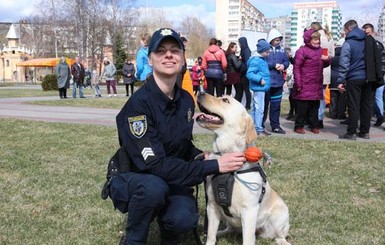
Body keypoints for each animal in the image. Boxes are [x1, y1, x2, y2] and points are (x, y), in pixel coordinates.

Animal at [195, 93, 288, 245]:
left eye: (225, 100)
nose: (200, 92)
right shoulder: (212, 206)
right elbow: (210, 235)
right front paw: (209, 239)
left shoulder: (249, 211)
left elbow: (248, 239)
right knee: (229, 229)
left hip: (280, 216)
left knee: (279, 235)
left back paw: (282, 241)